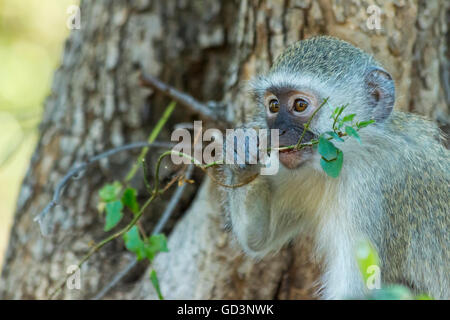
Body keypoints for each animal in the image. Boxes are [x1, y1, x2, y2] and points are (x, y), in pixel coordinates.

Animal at [222, 36, 450, 298]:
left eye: (300, 105)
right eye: (274, 105)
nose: (276, 132)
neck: (353, 155)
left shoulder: (375, 194)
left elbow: (361, 290)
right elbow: (258, 238)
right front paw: (241, 148)